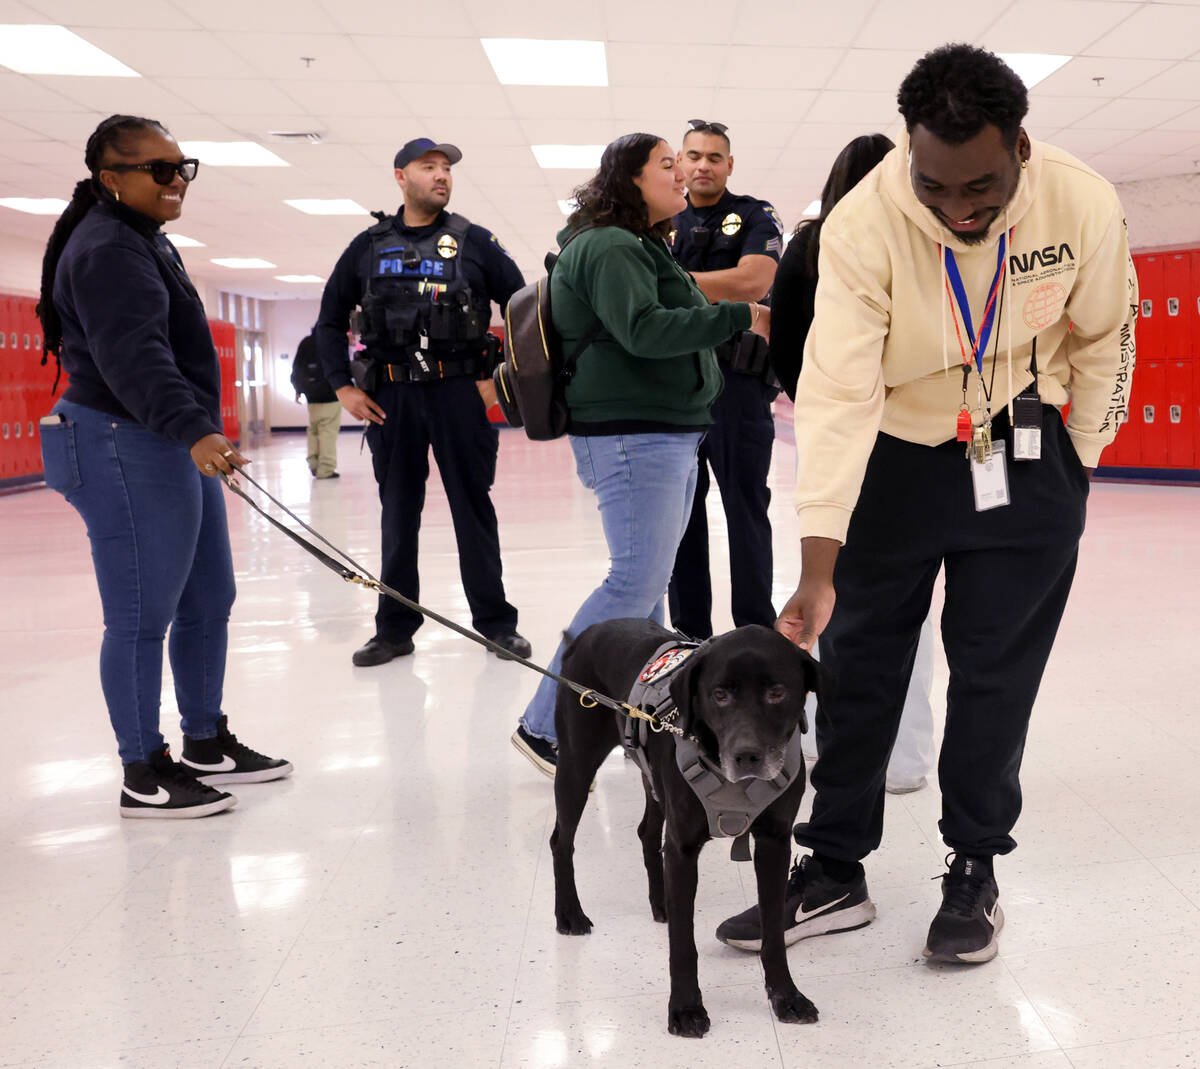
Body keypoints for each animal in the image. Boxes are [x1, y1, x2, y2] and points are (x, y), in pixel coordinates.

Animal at [549, 619, 816, 1036]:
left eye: (777, 693)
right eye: (719, 694)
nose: (747, 756)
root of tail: (589, 631)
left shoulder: (774, 843)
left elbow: (773, 931)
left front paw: (786, 997)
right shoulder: (684, 847)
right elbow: (683, 943)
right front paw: (686, 1008)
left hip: (652, 781)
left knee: (646, 833)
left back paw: (660, 901)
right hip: (576, 765)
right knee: (561, 840)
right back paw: (569, 914)